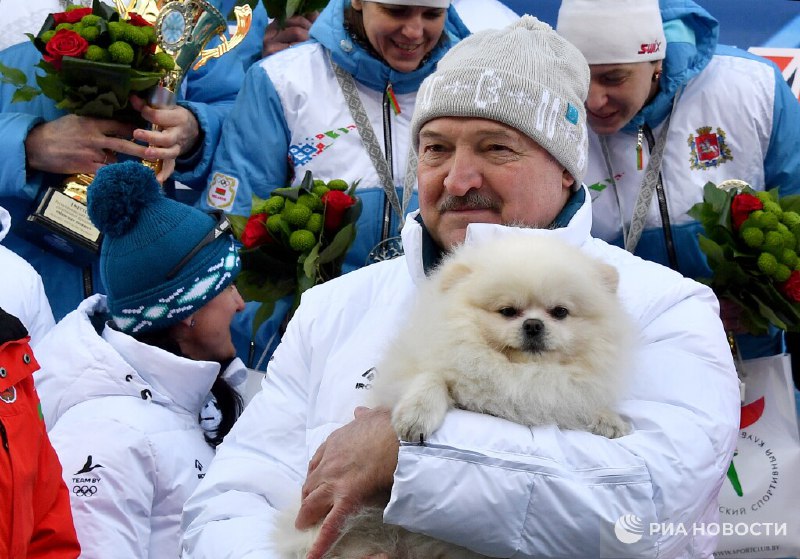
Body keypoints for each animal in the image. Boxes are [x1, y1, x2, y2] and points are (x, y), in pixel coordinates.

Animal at [276, 235, 636, 559]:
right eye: (507, 311)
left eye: (560, 312)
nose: (533, 324)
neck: (519, 372)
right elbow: (434, 378)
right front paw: (416, 415)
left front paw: (608, 419)